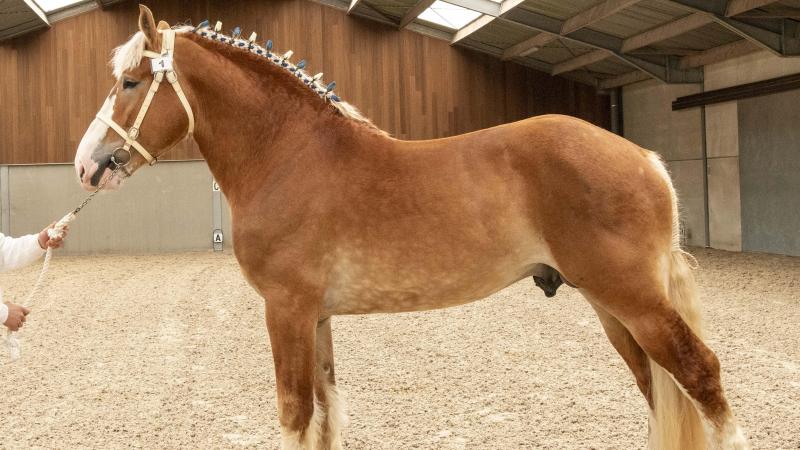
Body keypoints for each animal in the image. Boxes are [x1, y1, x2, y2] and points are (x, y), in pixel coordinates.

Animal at [72, 5, 749, 449]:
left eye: (130, 82)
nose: (87, 164)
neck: (288, 153)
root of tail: (644, 158)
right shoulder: (315, 317)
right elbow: (325, 413)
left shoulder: (285, 310)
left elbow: (296, 414)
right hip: (613, 310)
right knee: (660, 386)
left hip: (634, 301)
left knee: (702, 376)